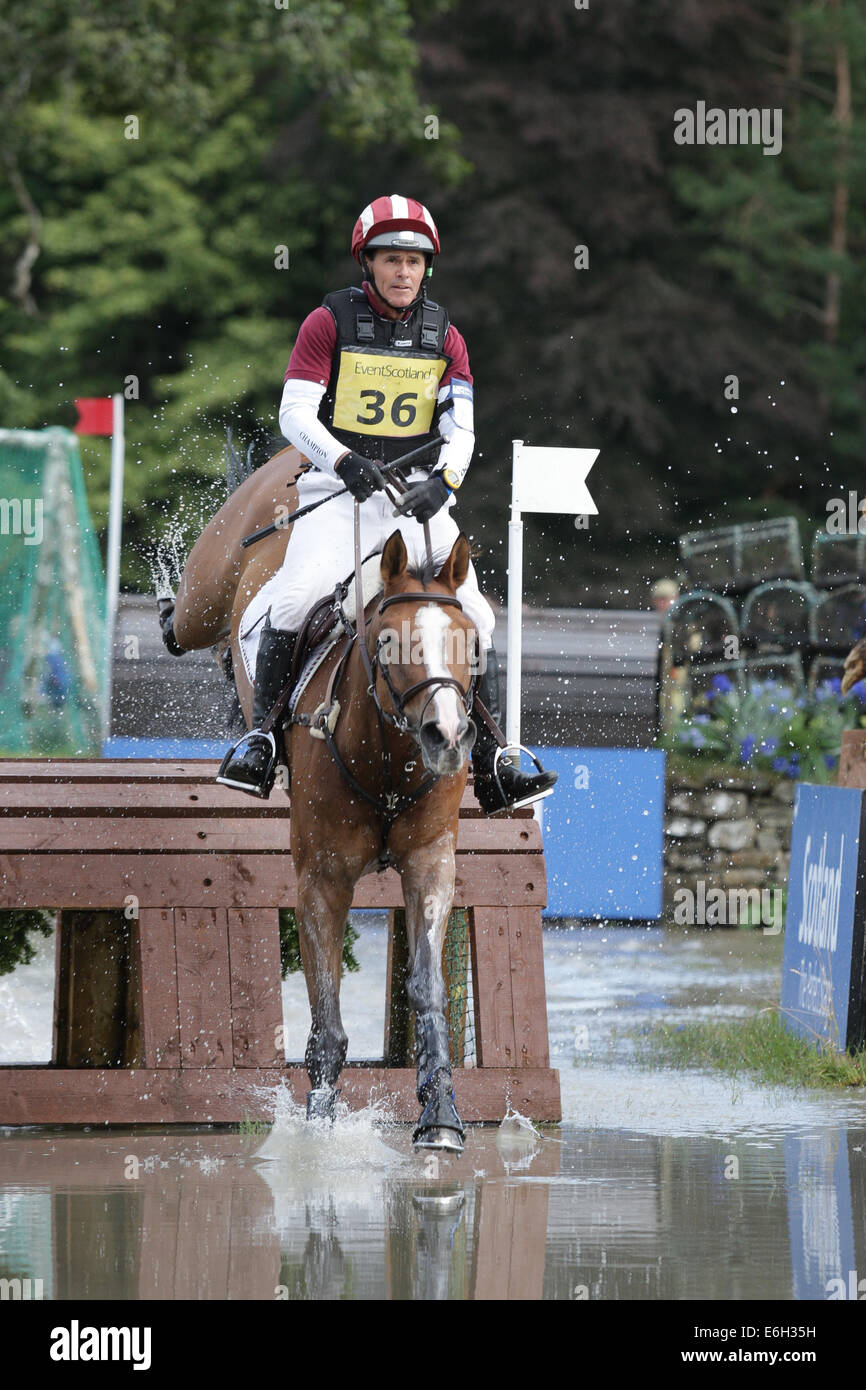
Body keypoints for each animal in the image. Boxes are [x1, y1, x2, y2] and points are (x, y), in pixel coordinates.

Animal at [167, 443, 479, 1152]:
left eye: (470, 644)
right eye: (389, 642)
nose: (447, 737)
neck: (388, 760)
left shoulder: (431, 865)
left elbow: (427, 989)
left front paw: (440, 1114)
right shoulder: (322, 878)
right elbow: (326, 1011)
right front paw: (320, 1123)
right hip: (208, 591)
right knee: (182, 622)